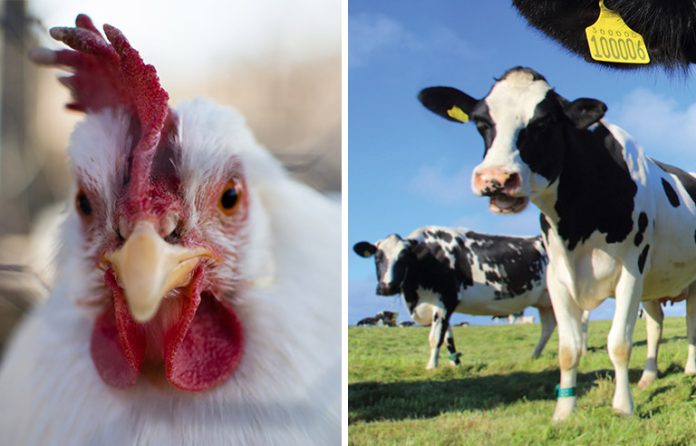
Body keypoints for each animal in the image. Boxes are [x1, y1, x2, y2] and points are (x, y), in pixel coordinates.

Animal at [353, 226, 555, 369]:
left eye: (404, 258)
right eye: (377, 257)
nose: (387, 287)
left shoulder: (445, 301)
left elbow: (435, 337)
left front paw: (431, 367)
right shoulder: (440, 306)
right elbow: (447, 337)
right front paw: (454, 363)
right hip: (546, 302)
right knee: (548, 328)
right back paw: (534, 356)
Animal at [418, 66, 696, 421]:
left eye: (544, 122)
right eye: (481, 122)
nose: (495, 179)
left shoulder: (631, 271)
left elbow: (619, 343)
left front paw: (623, 407)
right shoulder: (559, 277)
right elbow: (568, 349)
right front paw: (564, 411)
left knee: (690, 323)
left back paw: (690, 369)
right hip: (654, 286)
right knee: (655, 326)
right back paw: (648, 376)